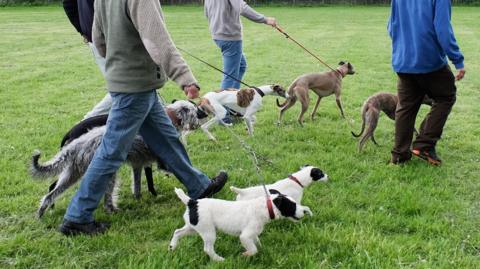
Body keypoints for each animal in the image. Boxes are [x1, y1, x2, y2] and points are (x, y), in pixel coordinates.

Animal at [168, 186, 312, 260]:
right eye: (292, 206)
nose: (304, 212)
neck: (265, 207)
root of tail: (192, 202)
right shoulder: (245, 236)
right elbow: (253, 249)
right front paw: (246, 254)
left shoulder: (253, 234)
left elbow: (257, 243)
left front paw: (262, 251)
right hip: (208, 231)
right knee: (208, 249)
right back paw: (219, 260)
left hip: (192, 227)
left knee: (177, 232)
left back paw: (172, 246)